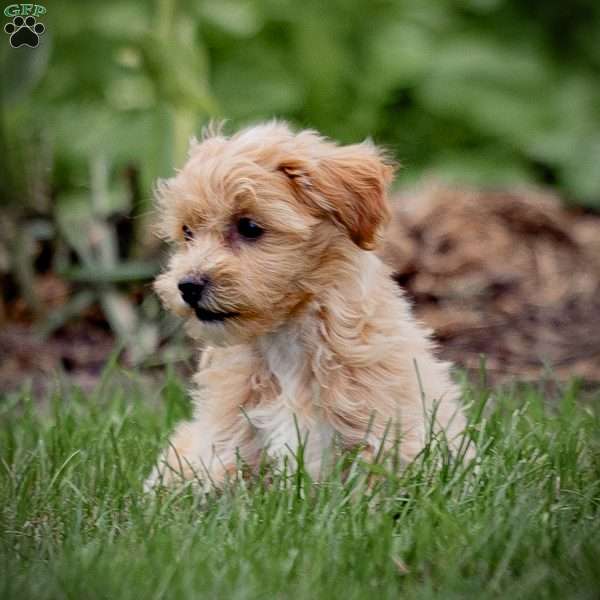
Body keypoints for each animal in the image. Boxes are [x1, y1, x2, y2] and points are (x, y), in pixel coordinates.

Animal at [145, 123, 468, 492]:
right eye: (187, 232)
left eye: (249, 227)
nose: (188, 286)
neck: (285, 340)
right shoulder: (228, 441)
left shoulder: (387, 434)